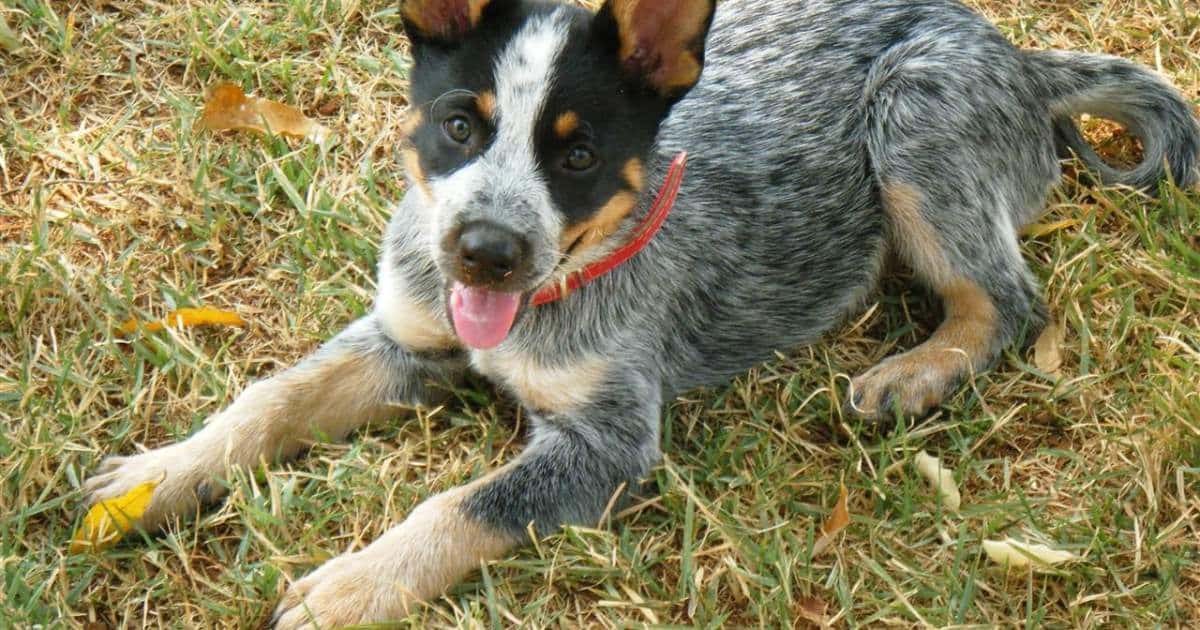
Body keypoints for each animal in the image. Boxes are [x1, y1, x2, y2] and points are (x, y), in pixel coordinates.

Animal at [79, 0, 1195, 624]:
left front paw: (352, 588)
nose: (484, 250)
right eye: (457, 127)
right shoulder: (405, 338)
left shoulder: (607, 444)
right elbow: (268, 401)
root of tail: (1019, 57)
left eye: (579, 154)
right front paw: (155, 479)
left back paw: (911, 375)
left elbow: (460, 507)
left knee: (1009, 302)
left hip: (914, 121)